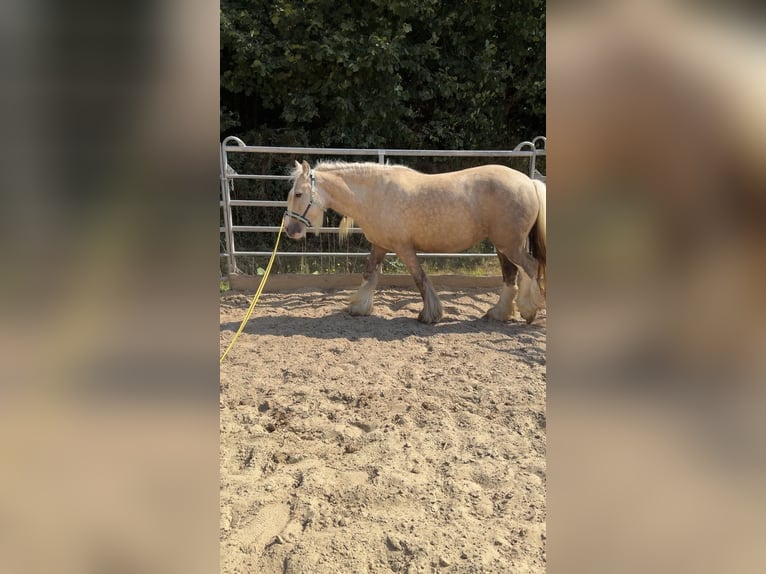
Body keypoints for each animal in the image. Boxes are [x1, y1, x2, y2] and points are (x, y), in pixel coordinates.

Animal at [283, 160, 546, 324]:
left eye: (298, 194)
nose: (290, 230)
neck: (375, 195)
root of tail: (529, 182)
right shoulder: (380, 246)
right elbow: (369, 274)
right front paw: (358, 307)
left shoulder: (404, 249)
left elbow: (420, 278)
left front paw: (430, 314)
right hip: (502, 246)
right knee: (510, 275)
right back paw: (499, 313)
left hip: (510, 245)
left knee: (531, 267)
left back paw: (529, 311)